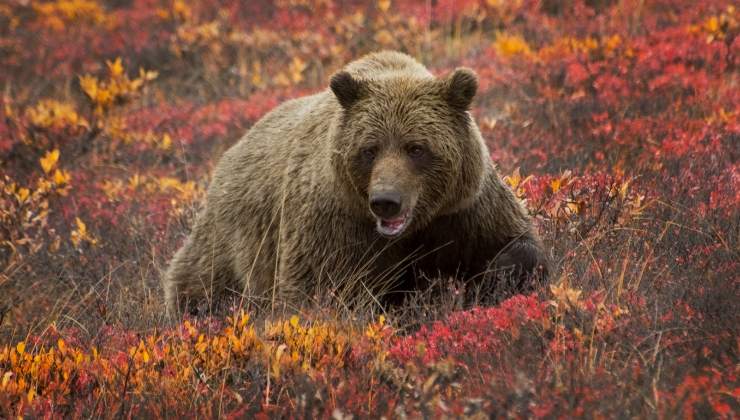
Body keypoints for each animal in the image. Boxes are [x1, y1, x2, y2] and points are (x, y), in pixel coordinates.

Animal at [163, 51, 548, 315]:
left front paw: (497, 278)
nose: (386, 201)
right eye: (370, 148)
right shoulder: (336, 224)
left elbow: (518, 245)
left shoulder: (464, 210)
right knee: (200, 284)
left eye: (416, 148)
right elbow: (319, 291)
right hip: (229, 242)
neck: (412, 229)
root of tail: (230, 152)